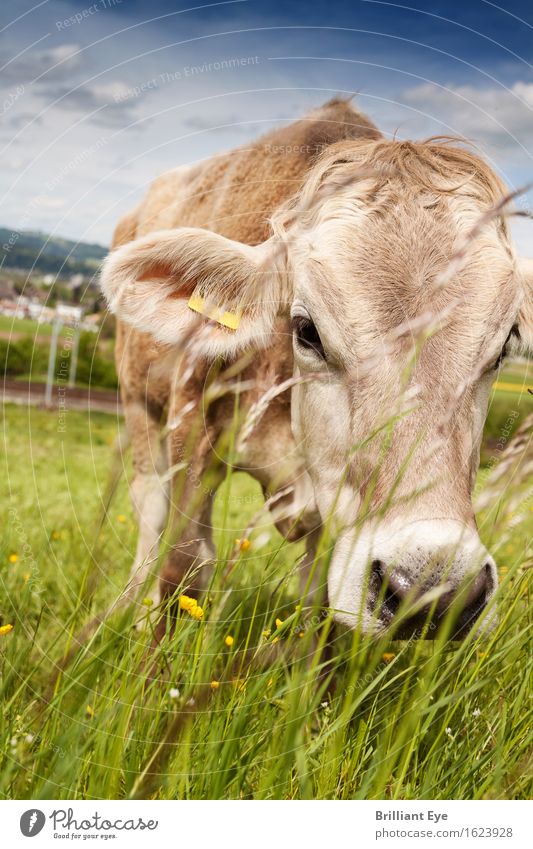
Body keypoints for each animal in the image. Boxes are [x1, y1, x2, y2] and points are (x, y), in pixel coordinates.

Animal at [101, 97, 532, 636]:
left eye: (505, 345)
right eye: (307, 330)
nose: (433, 591)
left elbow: (315, 599)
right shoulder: (191, 429)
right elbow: (184, 565)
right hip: (140, 402)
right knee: (150, 509)